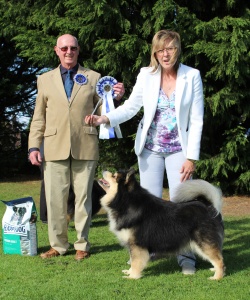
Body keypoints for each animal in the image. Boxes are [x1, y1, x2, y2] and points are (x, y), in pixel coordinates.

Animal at [98, 169, 226, 278]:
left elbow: (135, 262)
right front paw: (129, 272)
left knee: (219, 260)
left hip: (203, 242)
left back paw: (217, 277)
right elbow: (132, 260)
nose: (103, 170)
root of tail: (209, 206)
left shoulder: (137, 244)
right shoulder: (132, 244)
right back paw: (215, 270)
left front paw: (132, 276)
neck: (126, 202)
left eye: (114, 176)